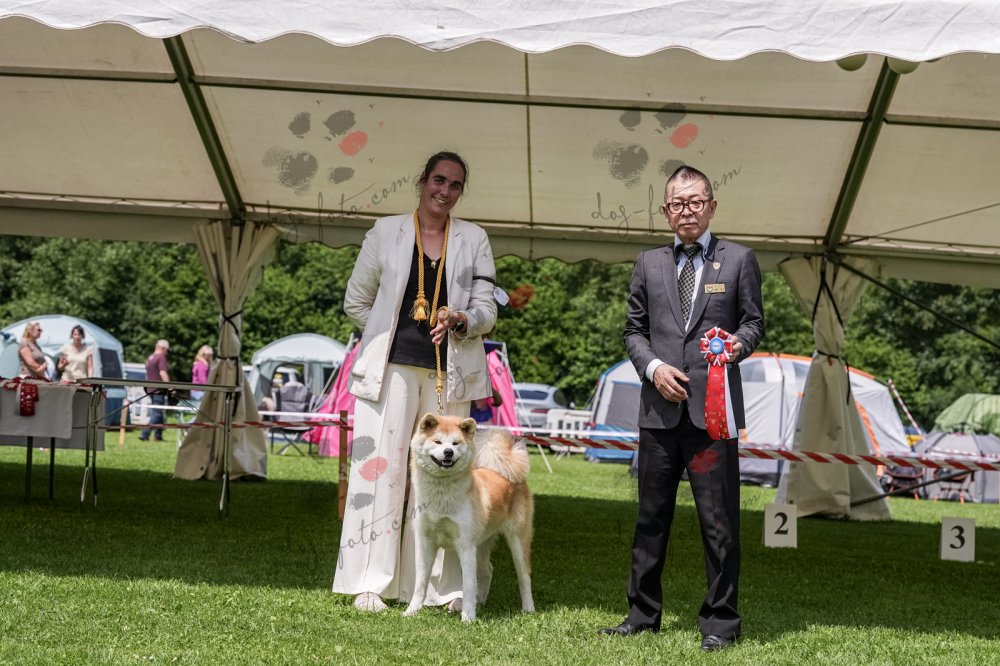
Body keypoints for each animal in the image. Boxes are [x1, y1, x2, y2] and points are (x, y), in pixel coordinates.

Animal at [403, 413, 534, 623]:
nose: (448, 452)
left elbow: (468, 585)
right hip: (481, 545)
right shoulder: (425, 542)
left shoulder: (465, 545)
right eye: (438, 441)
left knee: (524, 576)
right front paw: (412, 611)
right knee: (488, 570)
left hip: (517, 541)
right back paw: (481, 602)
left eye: (455, 443)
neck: (442, 495)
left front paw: (468, 618)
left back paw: (528, 607)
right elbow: (421, 582)